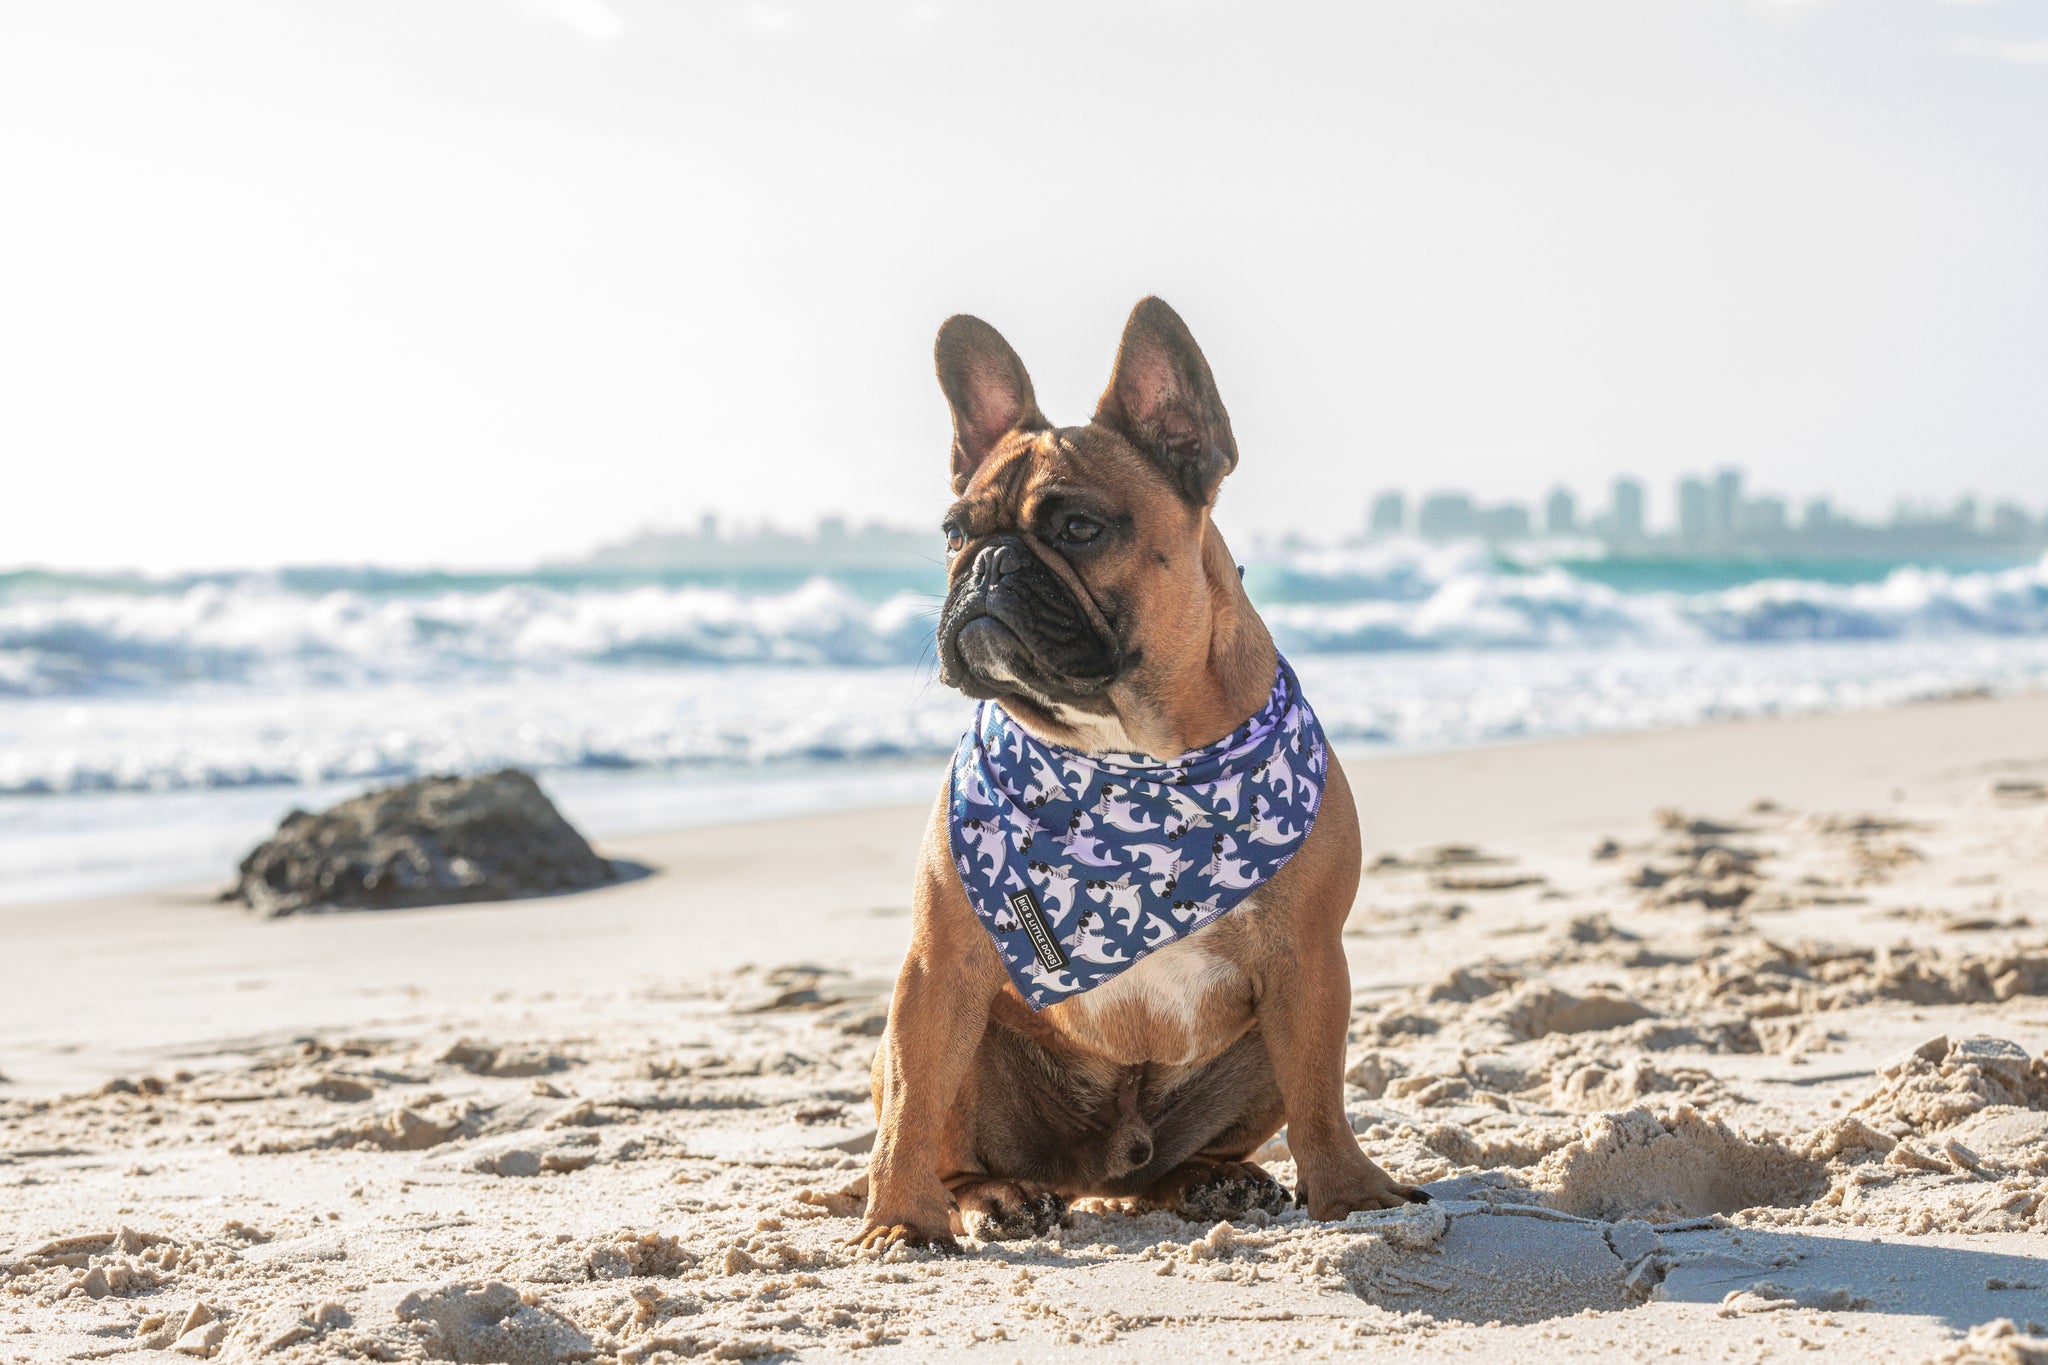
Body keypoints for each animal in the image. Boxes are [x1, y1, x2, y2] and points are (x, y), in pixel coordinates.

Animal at [851, 296, 1425, 1252]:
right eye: (954, 531)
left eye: (1080, 529)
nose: (987, 564)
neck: (1130, 752)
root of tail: (1098, 1173)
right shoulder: (938, 967)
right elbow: (910, 1108)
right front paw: (897, 1221)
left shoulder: (1309, 963)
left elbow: (1322, 1097)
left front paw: (1350, 1191)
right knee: (940, 1134)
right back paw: (992, 1197)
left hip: (1255, 1053)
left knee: (1199, 1152)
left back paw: (1213, 1178)